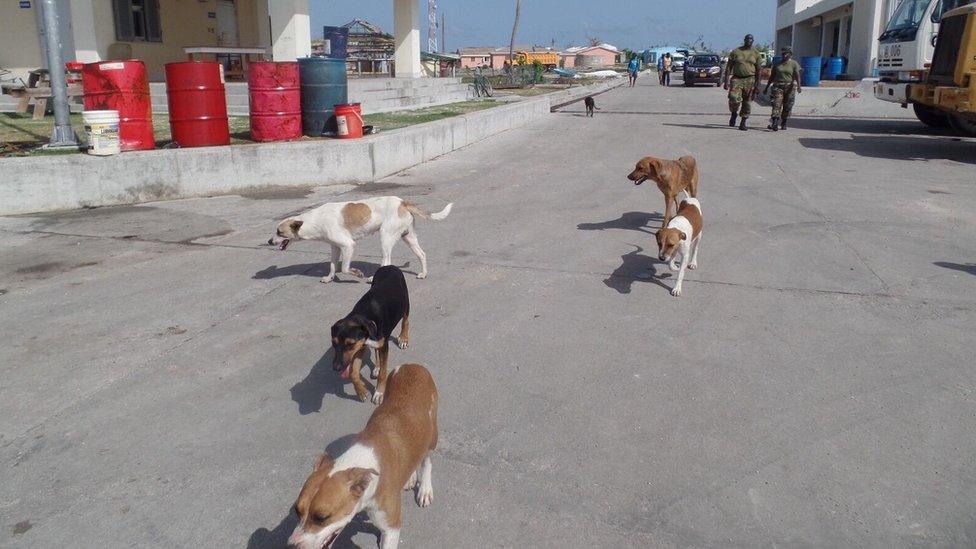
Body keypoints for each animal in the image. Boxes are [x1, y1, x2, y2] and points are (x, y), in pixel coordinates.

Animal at [270, 196, 454, 282]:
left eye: (279, 232)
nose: (269, 242)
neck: (314, 220)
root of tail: (402, 202)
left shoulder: (348, 245)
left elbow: (345, 268)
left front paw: (356, 273)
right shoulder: (335, 247)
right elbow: (332, 265)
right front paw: (329, 278)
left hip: (385, 237)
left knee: (386, 260)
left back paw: (374, 278)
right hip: (408, 237)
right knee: (422, 254)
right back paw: (423, 273)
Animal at [286, 364, 438, 548]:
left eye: (322, 518)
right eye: (297, 510)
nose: (290, 546)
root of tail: (413, 365)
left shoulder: (391, 528)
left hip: (432, 435)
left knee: (427, 460)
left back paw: (425, 489)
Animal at [334, 266, 410, 402]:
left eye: (350, 344)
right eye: (334, 343)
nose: (336, 368)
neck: (363, 315)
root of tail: (389, 266)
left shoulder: (382, 346)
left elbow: (383, 373)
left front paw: (379, 392)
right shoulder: (360, 346)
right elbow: (353, 373)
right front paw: (361, 392)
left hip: (405, 303)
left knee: (405, 321)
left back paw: (404, 338)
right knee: (375, 351)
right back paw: (377, 367)